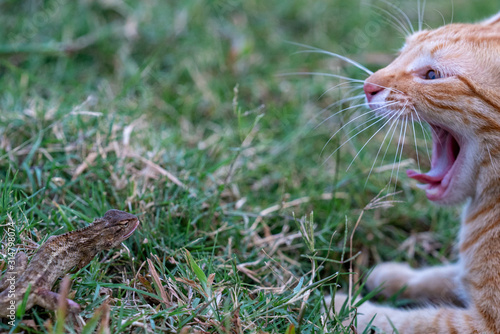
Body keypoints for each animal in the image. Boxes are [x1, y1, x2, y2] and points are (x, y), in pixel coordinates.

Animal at [334, 10, 500, 334]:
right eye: (402, 52)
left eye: (432, 76)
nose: (368, 86)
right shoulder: (463, 276)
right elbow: (447, 275)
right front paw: (393, 277)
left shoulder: (481, 325)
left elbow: (411, 320)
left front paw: (340, 309)